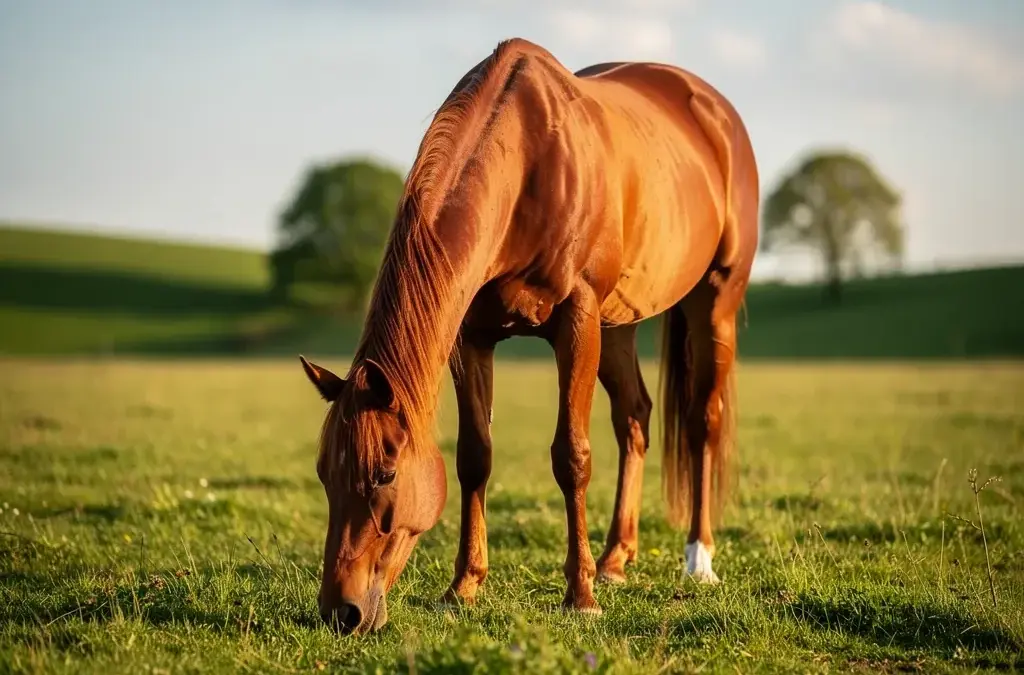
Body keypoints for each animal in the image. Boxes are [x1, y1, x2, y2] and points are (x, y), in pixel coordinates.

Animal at [298, 37, 759, 635]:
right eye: (323, 473)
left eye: (384, 473)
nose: (340, 612)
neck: (527, 166)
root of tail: (716, 111)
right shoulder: (473, 337)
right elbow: (475, 457)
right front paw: (464, 586)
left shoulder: (577, 320)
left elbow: (572, 456)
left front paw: (580, 595)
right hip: (619, 324)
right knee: (634, 418)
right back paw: (616, 558)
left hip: (712, 302)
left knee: (703, 420)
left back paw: (697, 560)